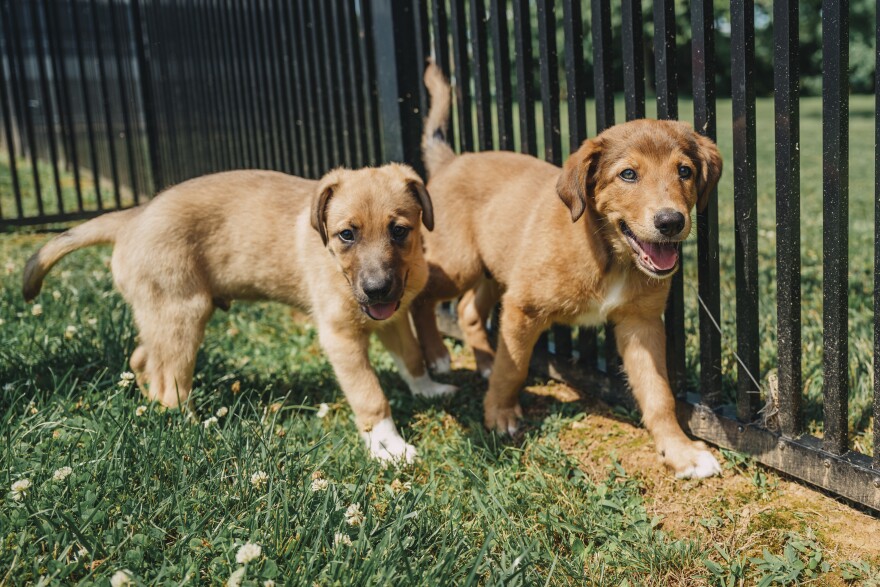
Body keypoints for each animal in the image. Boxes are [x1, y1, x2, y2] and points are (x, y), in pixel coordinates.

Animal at [24, 165, 458, 464]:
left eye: (399, 230)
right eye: (346, 234)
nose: (377, 289)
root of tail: (132, 216)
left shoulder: (393, 320)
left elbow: (412, 357)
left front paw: (427, 389)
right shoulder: (341, 337)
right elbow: (370, 396)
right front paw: (389, 447)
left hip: (159, 314)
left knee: (143, 359)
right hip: (183, 314)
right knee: (171, 385)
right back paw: (191, 429)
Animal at [412, 64, 720, 478]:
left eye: (684, 171)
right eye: (628, 175)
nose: (671, 222)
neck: (610, 255)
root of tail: (451, 161)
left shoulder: (641, 323)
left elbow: (659, 394)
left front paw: (680, 450)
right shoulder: (523, 307)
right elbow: (514, 368)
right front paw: (499, 415)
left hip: (497, 269)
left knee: (467, 311)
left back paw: (484, 362)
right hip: (458, 265)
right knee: (421, 297)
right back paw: (438, 355)